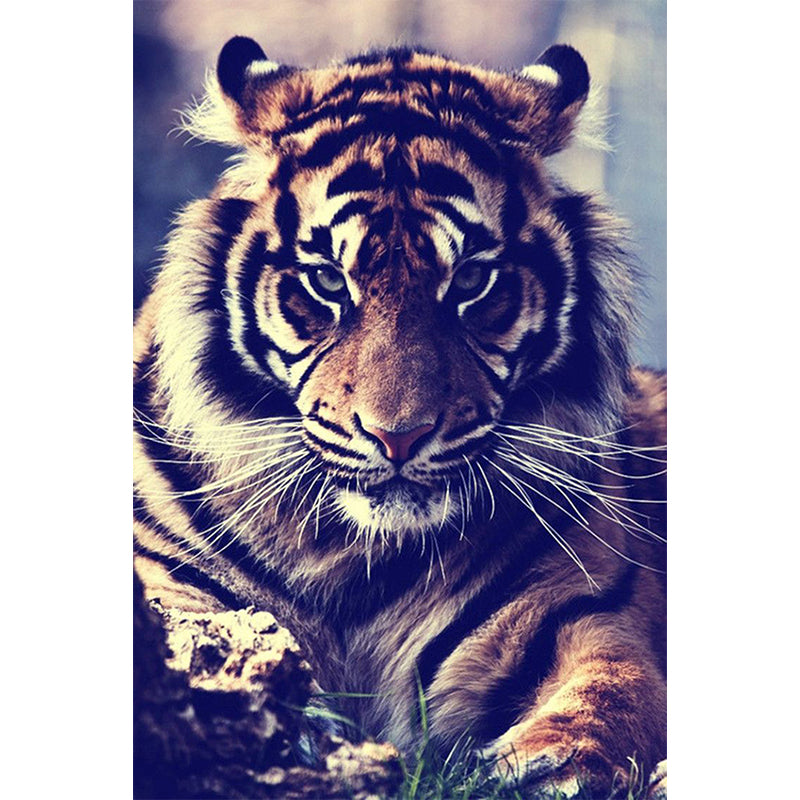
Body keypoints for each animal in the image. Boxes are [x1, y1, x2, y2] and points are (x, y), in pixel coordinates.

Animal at [133, 35, 667, 798]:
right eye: (327, 281)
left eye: (472, 281)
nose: (398, 436)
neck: (353, 554)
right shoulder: (168, 584)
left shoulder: (583, 609)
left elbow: (612, 690)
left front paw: (543, 767)